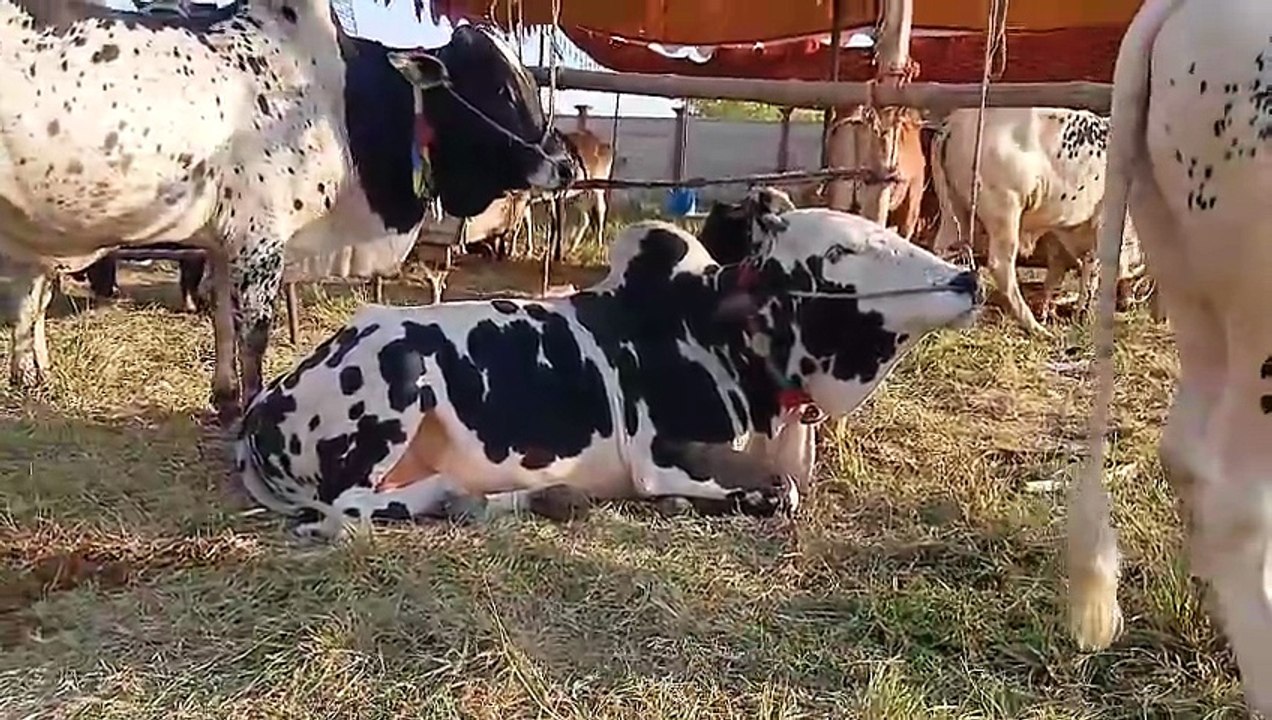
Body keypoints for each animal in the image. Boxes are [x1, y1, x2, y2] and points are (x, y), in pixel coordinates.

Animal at [0, 0, 577, 425]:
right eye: (501, 88)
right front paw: (250, 408)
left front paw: (225, 398)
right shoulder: (259, 239)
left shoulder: (224, 243)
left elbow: (223, 322)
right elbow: (254, 332)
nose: (566, 164)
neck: (342, 100)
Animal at [234, 188, 981, 540]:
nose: (966, 278)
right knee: (357, 506)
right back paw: (472, 497)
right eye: (835, 252)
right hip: (400, 374)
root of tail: (261, 409)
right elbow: (778, 492)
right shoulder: (666, 450)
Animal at [928, 107, 1146, 335]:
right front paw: (1081, 315)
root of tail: (951, 124)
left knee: (943, 251)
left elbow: (1062, 269)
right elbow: (1092, 267)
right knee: (1001, 266)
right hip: (1004, 212)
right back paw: (1036, 327)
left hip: (952, 211)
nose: (1128, 304)